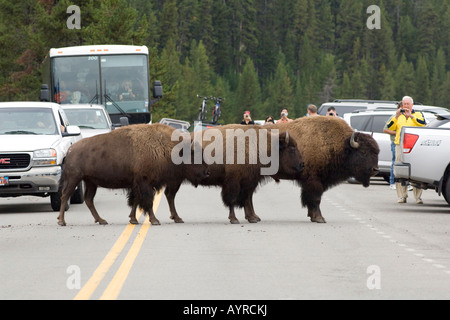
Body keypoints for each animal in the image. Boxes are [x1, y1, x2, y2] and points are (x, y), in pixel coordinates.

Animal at [56, 124, 209, 226]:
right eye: (195, 156)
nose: (207, 172)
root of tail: (70, 150)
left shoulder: (137, 184)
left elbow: (135, 201)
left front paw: (133, 219)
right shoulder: (145, 183)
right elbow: (147, 202)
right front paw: (155, 220)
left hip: (91, 182)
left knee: (88, 199)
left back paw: (101, 220)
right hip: (74, 179)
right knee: (65, 196)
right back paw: (62, 221)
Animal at [163, 124, 304, 224]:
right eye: (292, 149)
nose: (302, 165)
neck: (259, 146)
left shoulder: (249, 182)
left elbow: (247, 199)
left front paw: (252, 217)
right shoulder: (234, 182)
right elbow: (232, 200)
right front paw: (234, 219)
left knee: (169, 195)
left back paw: (176, 217)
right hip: (175, 181)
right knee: (170, 195)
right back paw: (177, 218)